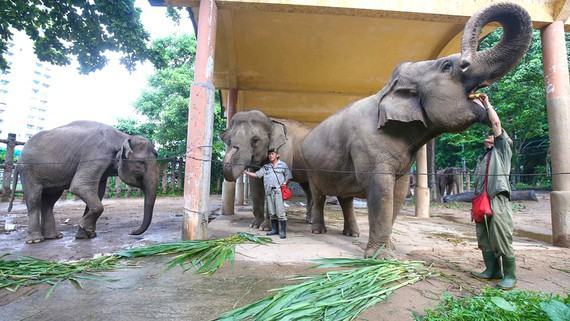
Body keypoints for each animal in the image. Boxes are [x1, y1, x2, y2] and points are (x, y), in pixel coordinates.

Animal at [8, 120, 159, 242]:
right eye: (141, 163)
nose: (131, 232)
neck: (123, 136)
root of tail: (18, 160)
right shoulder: (95, 155)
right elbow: (80, 187)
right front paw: (85, 228)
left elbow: (98, 192)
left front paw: (86, 235)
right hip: (29, 171)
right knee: (34, 199)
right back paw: (36, 240)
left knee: (49, 201)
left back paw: (54, 237)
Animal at [220, 110, 358, 235]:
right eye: (229, 140)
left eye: (255, 140)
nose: (234, 148)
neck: (271, 121)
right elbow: (256, 184)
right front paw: (254, 225)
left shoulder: (284, 150)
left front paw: (265, 228)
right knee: (308, 189)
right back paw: (308, 219)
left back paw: (311, 221)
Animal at [300, 2, 532, 256]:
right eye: (447, 66)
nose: (466, 60)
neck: (386, 91)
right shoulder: (369, 146)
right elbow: (381, 191)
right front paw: (379, 257)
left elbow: (399, 192)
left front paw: (389, 250)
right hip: (311, 166)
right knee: (319, 194)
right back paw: (318, 230)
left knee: (345, 197)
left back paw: (352, 234)